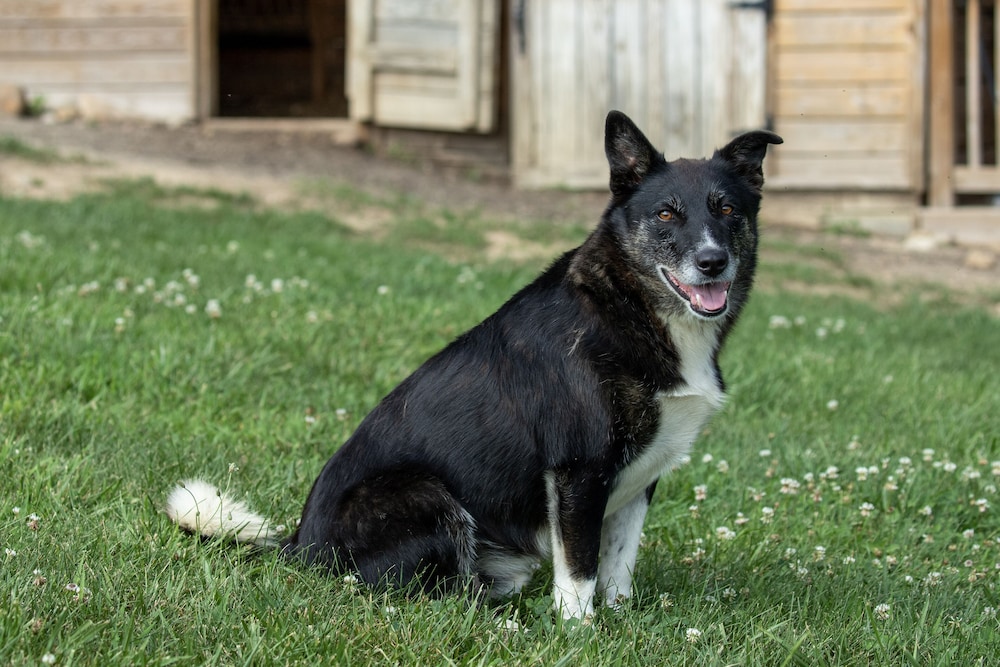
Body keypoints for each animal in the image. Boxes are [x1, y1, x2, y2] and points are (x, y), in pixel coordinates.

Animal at [166, 111, 780, 620]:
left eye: (727, 209)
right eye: (666, 213)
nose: (712, 262)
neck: (633, 307)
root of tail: (299, 546)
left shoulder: (640, 478)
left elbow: (618, 567)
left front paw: (622, 621)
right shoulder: (579, 471)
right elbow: (580, 573)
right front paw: (578, 633)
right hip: (425, 495)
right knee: (429, 593)